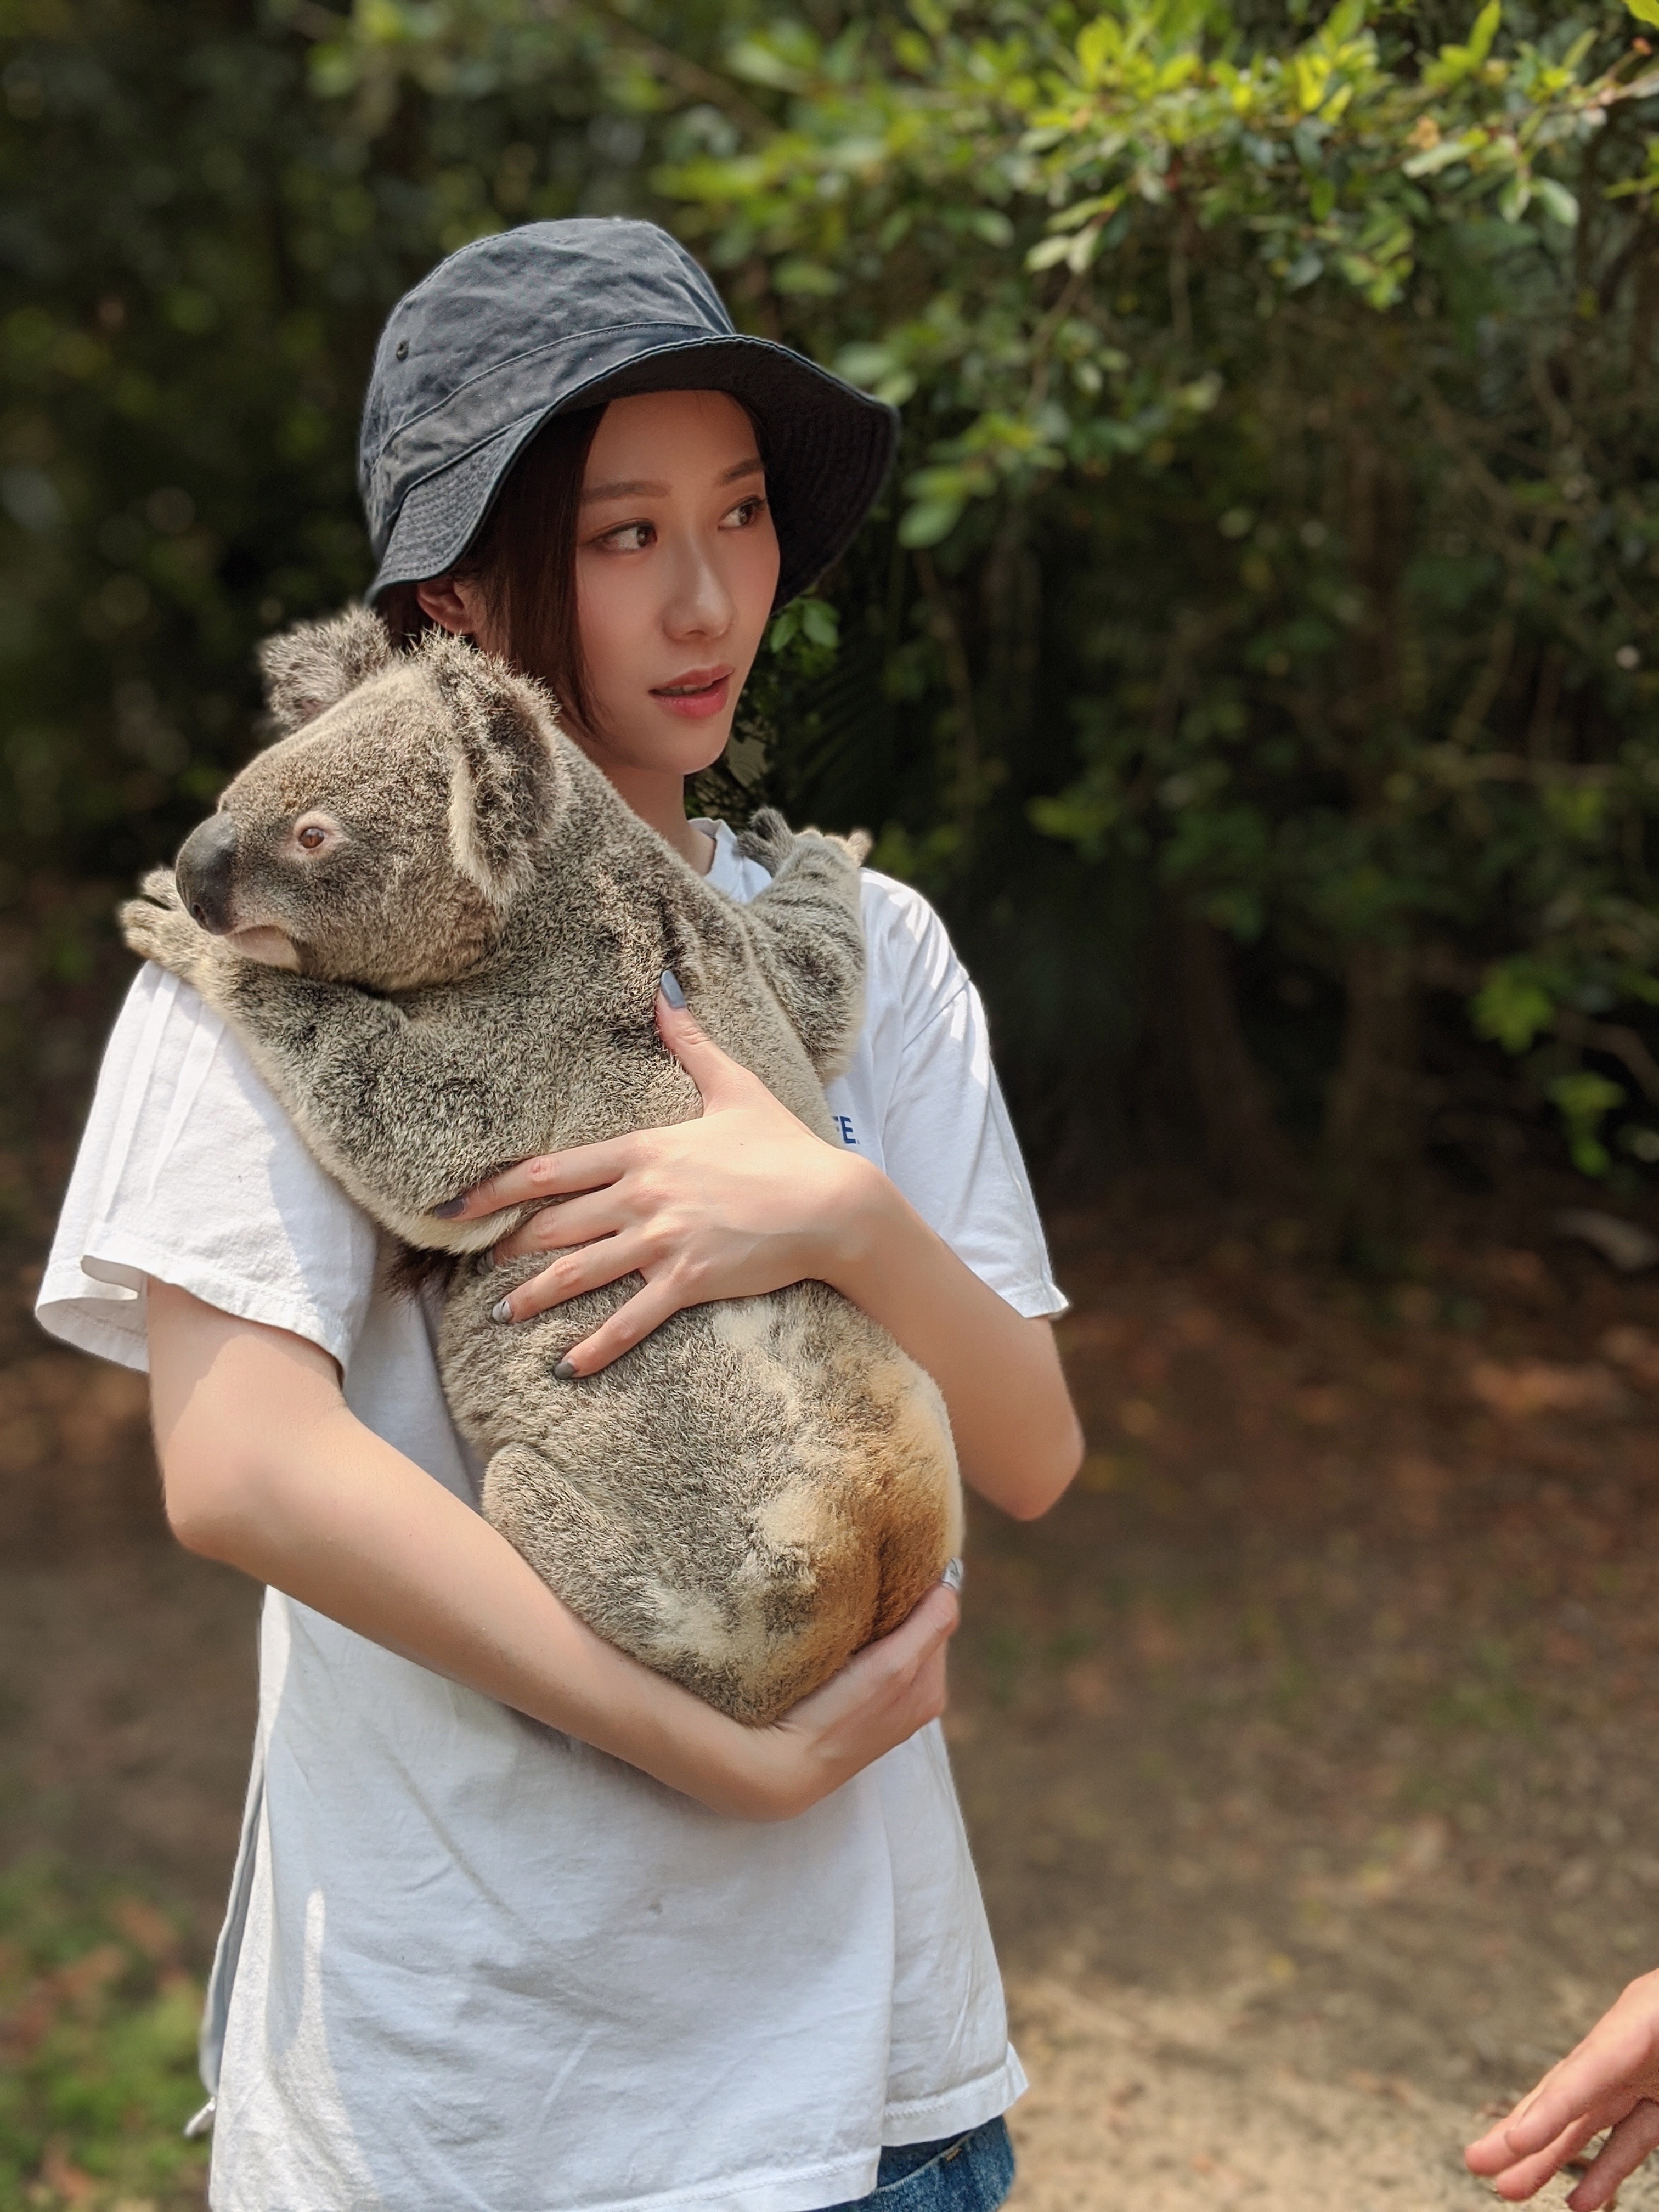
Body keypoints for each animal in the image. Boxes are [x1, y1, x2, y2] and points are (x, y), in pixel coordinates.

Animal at [120, 607, 961, 1725]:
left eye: (312, 835)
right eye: (232, 791)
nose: (196, 870)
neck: (559, 883)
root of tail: (867, 1560)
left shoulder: (530, 1044)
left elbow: (406, 1130)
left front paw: (181, 935)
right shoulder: (755, 957)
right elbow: (818, 966)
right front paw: (813, 839)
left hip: (681, 1582)